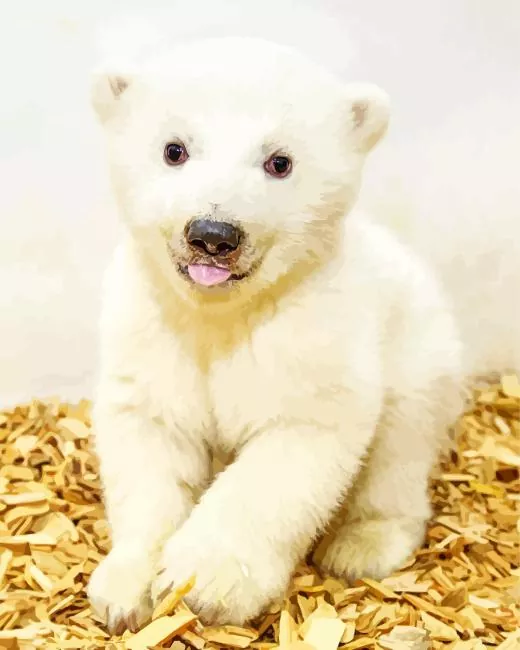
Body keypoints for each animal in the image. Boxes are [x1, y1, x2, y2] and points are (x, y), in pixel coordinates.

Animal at [86, 36, 463, 634]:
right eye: (174, 149)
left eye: (279, 161)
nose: (213, 234)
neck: (222, 313)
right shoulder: (153, 327)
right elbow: (152, 438)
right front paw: (126, 589)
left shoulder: (314, 329)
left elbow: (292, 444)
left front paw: (205, 582)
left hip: (420, 352)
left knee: (400, 448)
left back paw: (361, 544)